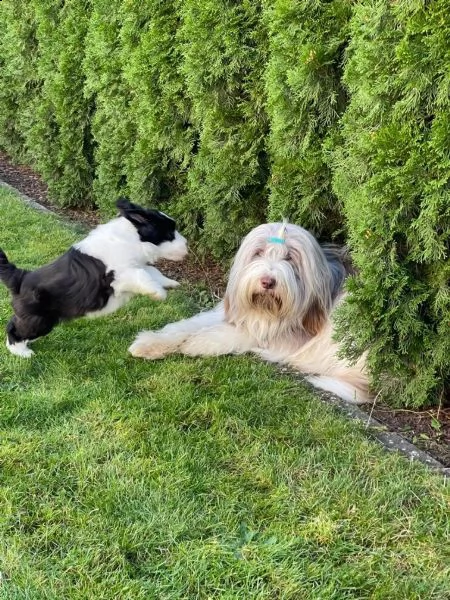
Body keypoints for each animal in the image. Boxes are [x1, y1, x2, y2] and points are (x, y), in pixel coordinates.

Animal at [0, 197, 186, 356]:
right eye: (170, 233)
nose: (187, 246)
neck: (131, 238)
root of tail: (20, 277)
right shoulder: (120, 274)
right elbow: (142, 274)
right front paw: (159, 293)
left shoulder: (136, 264)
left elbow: (152, 271)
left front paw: (169, 283)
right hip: (39, 321)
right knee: (14, 329)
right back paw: (22, 353)